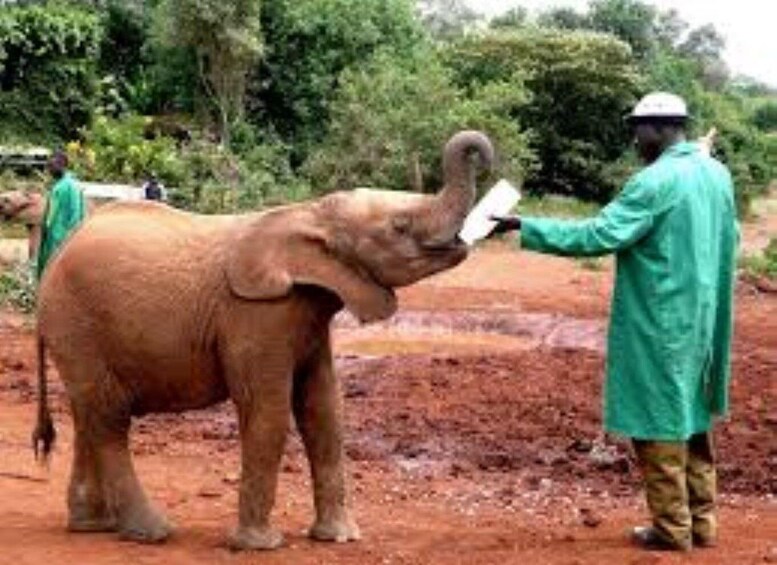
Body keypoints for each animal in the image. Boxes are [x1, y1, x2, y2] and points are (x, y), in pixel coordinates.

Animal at [33, 130, 495, 550]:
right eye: (399, 226)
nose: (484, 155)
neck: (312, 213)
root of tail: (53, 260)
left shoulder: (309, 317)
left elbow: (324, 411)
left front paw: (339, 538)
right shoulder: (256, 314)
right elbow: (267, 411)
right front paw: (259, 545)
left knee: (89, 412)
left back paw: (93, 526)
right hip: (74, 320)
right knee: (110, 417)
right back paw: (152, 533)